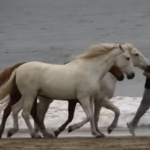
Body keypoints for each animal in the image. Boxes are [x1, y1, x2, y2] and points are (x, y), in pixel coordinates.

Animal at [0, 42, 134, 138]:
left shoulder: (90, 99)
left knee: (15, 109)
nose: (131, 75)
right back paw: (34, 134)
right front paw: (71, 128)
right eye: (127, 58)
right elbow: (89, 116)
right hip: (30, 95)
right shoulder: (82, 98)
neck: (90, 70)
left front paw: (96, 133)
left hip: (26, 95)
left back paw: (12, 131)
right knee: (25, 113)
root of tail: (17, 69)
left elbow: (91, 116)